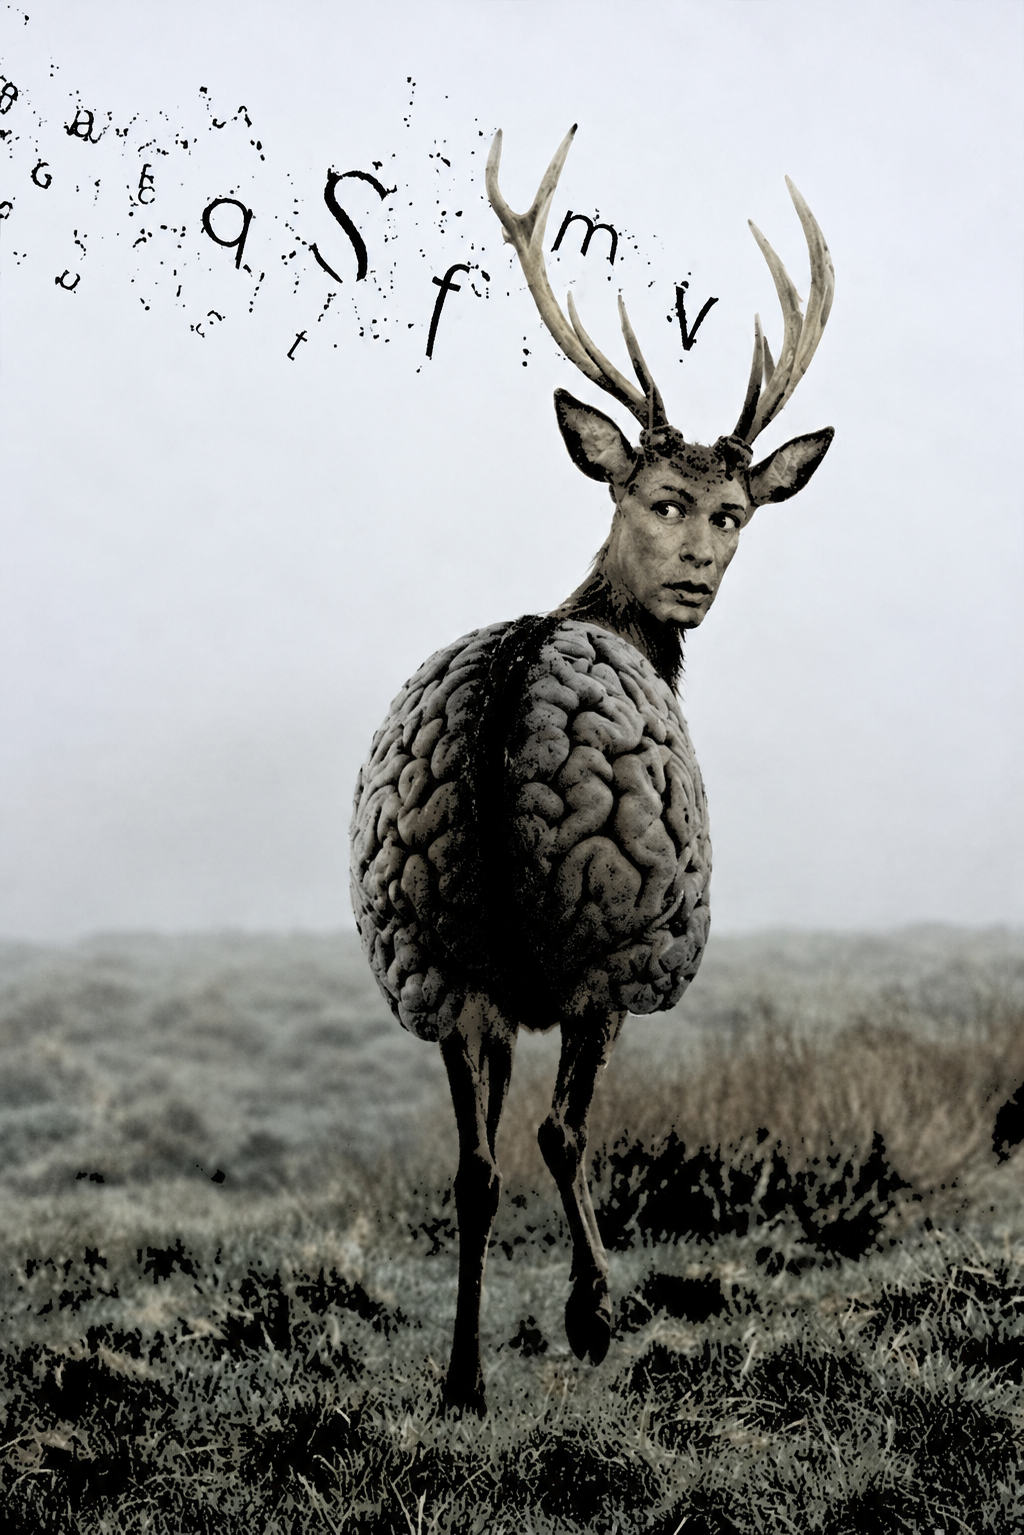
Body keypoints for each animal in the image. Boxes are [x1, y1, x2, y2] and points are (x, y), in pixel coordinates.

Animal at [350, 125, 834, 1414]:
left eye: (736, 509)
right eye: (661, 497)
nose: (696, 578)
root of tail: (509, 693)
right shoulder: (616, 967)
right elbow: (570, 1131)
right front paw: (591, 1309)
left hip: (425, 942)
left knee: (470, 1162)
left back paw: (464, 1377)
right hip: (608, 939)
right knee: (557, 1132)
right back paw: (587, 1313)